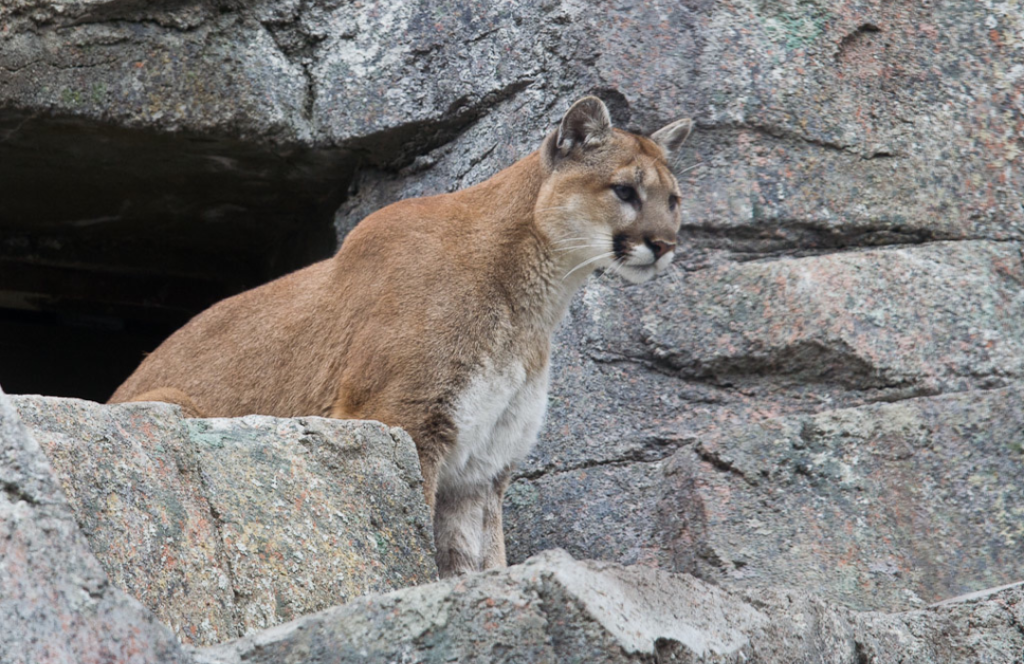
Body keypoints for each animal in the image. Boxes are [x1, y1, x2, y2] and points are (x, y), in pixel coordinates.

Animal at [110, 95, 688, 577]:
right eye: (625, 190)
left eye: (674, 200)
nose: (664, 245)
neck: (535, 302)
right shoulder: (402, 417)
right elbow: (410, 523)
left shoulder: (483, 463)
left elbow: (478, 555)